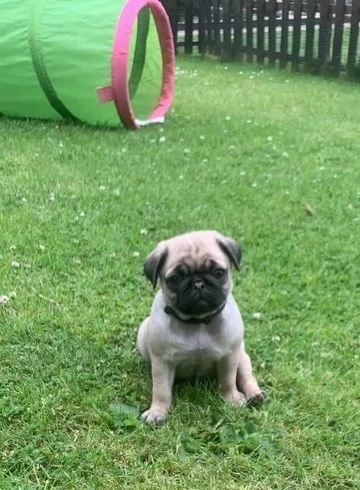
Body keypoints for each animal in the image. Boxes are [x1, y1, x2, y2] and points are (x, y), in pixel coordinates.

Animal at [136, 232, 262, 424]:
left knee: (246, 375)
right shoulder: (162, 362)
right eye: (175, 279)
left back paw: (255, 395)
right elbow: (161, 390)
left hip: (241, 355)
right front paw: (157, 412)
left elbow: (228, 380)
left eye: (218, 273)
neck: (198, 322)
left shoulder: (229, 357)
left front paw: (232, 399)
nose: (198, 284)